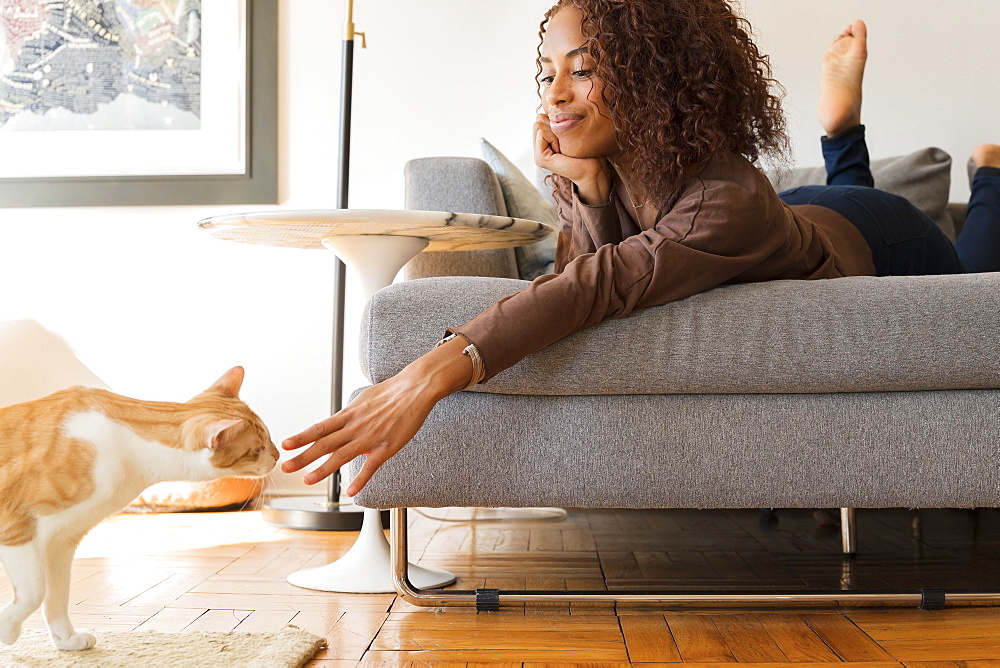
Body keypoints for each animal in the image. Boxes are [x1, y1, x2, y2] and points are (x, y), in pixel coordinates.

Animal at [0, 368, 278, 648]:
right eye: (257, 449)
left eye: (269, 437)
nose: (277, 456)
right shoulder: (17, 527)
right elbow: (34, 592)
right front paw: (7, 631)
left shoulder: (61, 541)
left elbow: (57, 595)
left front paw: (66, 640)